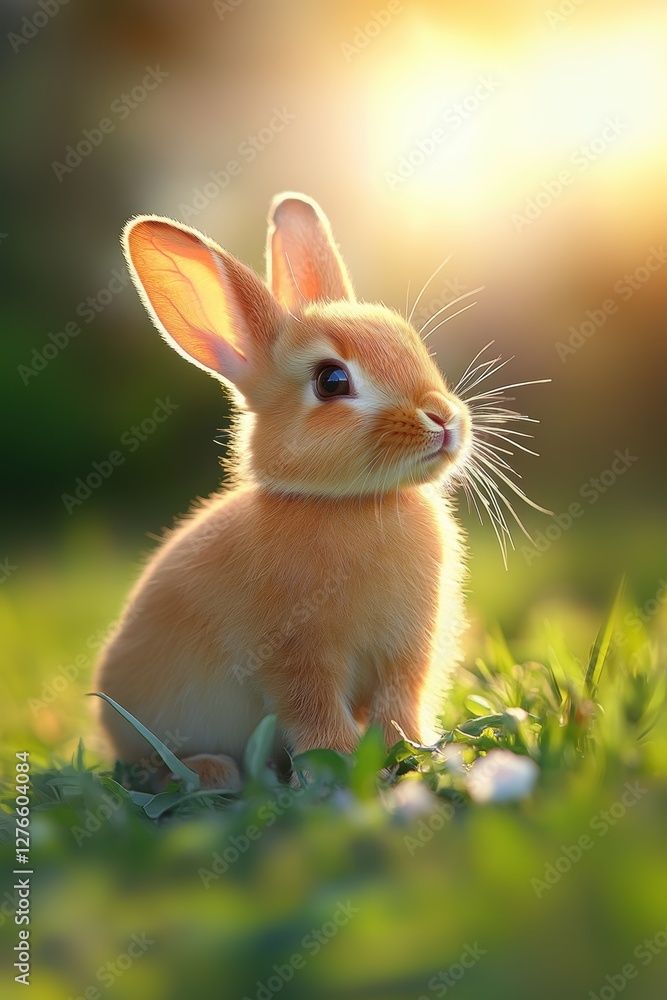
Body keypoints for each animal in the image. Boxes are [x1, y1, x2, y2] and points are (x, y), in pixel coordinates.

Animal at [94, 192, 473, 790]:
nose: (443, 418)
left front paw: (411, 752)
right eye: (332, 381)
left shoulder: (404, 653)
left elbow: (398, 705)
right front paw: (338, 766)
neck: (349, 504)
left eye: (412, 344)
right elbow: (314, 710)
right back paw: (209, 772)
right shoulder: (297, 658)